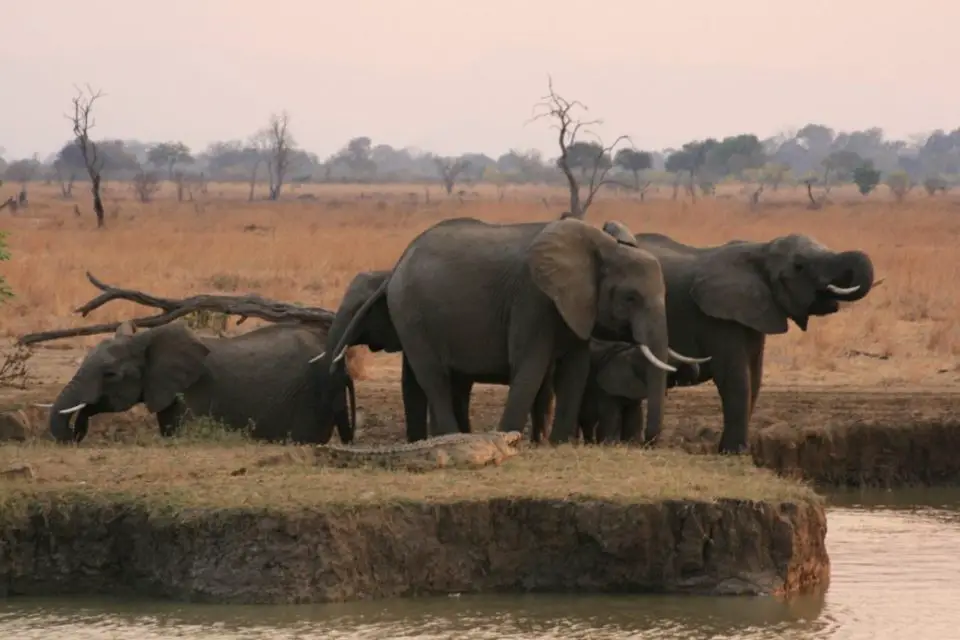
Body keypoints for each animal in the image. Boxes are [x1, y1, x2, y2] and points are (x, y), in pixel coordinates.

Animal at [572, 340, 700, 444]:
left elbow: (635, 413)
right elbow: (612, 414)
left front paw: (631, 444)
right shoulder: (606, 386)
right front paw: (610, 444)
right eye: (646, 372)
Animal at [600, 222, 876, 452]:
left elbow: (755, 377)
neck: (761, 250)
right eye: (799, 267)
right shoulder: (717, 318)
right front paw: (735, 452)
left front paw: (730, 450)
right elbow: (736, 378)